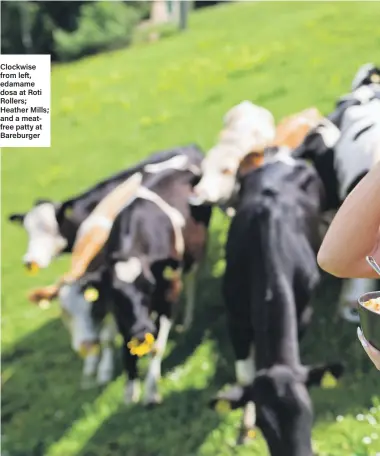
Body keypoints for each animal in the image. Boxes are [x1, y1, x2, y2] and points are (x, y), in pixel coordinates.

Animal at [8, 144, 205, 386]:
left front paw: (104, 369)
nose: (29, 261)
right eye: (28, 230)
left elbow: (111, 335)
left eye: (49, 228)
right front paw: (92, 368)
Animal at [77, 155, 212, 404]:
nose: (141, 330)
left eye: (150, 286)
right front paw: (130, 392)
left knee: (190, 282)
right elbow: (126, 350)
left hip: (191, 260)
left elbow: (157, 347)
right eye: (116, 295)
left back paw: (187, 320)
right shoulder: (121, 315)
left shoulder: (168, 293)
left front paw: (151, 392)